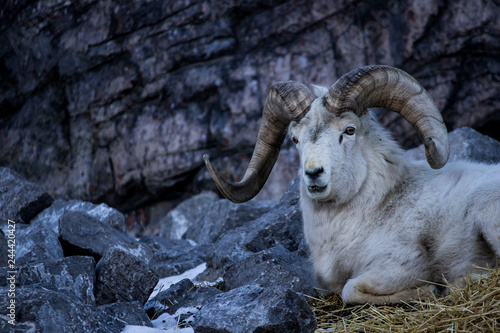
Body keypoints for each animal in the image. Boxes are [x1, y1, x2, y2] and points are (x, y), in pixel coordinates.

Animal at [203, 65, 500, 304]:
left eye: (349, 130)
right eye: (295, 139)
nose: (314, 173)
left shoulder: (400, 265)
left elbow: (351, 290)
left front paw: (431, 291)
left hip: (486, 213)